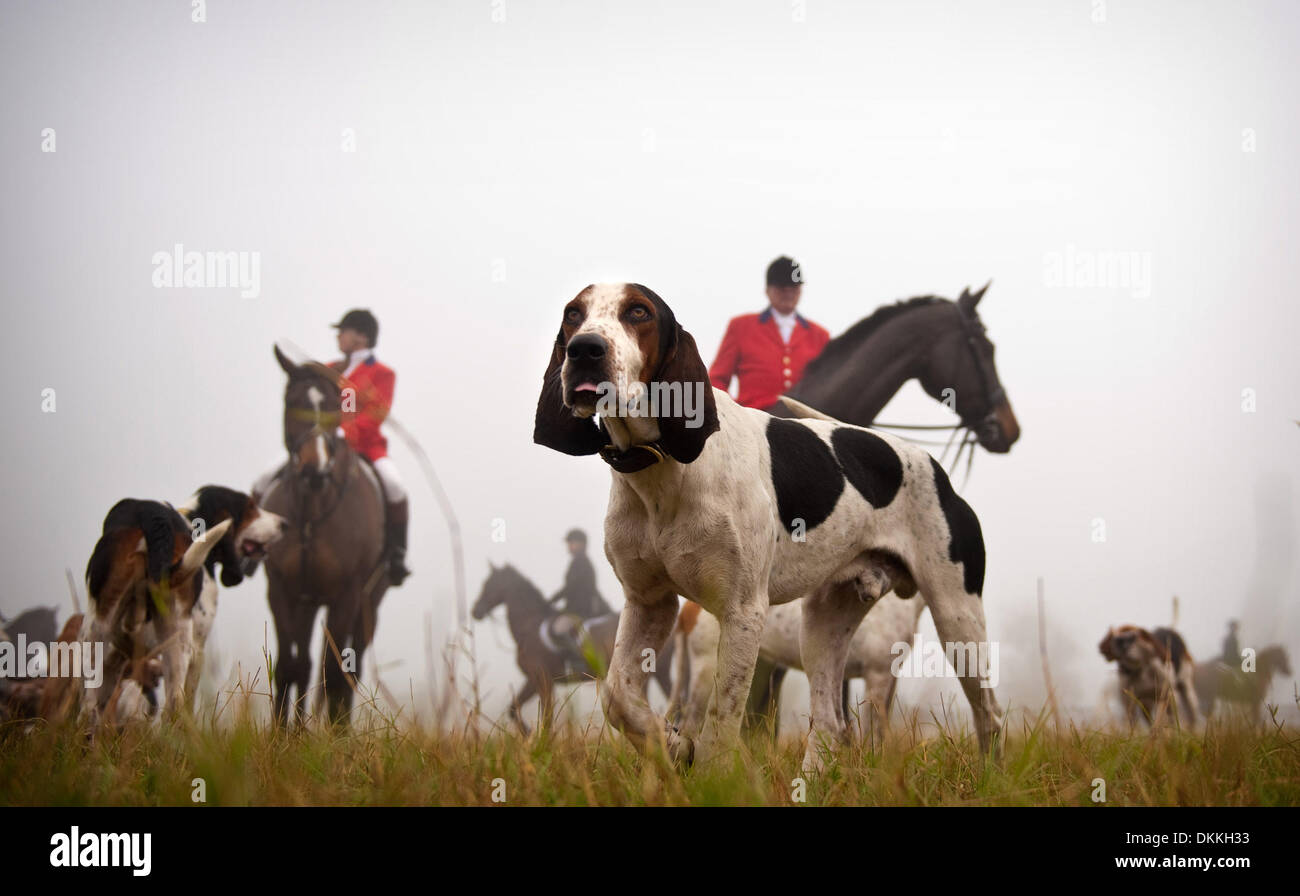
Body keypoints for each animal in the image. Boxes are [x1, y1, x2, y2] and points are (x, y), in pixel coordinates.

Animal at [260, 345, 390, 723]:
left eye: (335, 406)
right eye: (292, 402)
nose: (315, 472)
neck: (310, 515)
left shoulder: (346, 596)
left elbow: (334, 671)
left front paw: (333, 732)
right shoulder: (281, 590)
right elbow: (289, 666)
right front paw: (281, 732)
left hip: (369, 603)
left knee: (348, 668)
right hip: (307, 601)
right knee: (304, 664)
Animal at [478, 561, 681, 728]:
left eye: (488, 584)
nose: (475, 611)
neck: (531, 627)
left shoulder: (541, 679)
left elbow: (546, 717)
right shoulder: (533, 680)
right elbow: (513, 710)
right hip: (657, 675)